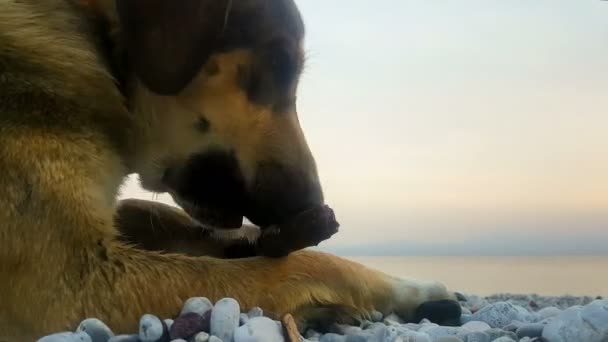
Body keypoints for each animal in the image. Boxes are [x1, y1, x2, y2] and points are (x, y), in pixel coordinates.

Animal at [0, 1, 458, 340]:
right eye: (279, 65)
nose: (315, 205)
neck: (89, 29)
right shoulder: (76, 284)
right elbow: (304, 265)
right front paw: (402, 286)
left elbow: (146, 210)